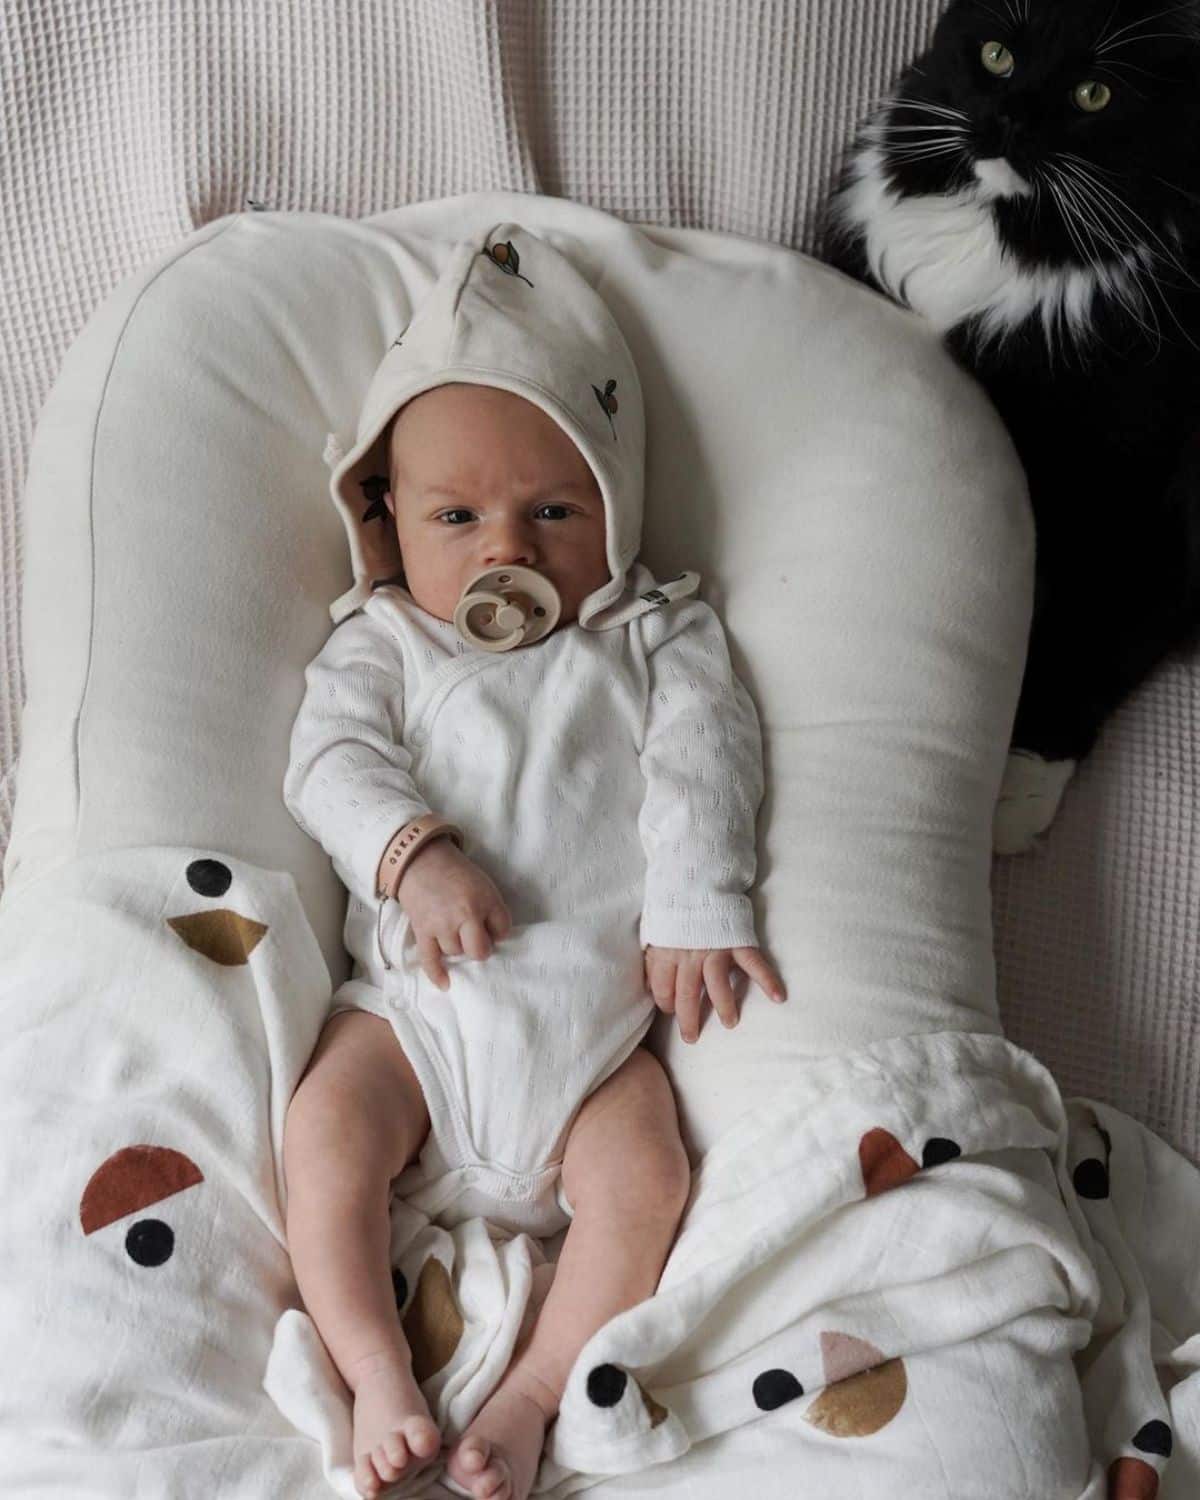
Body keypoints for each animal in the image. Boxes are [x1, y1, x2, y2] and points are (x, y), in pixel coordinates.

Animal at [822, 0, 1200, 852]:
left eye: (1094, 93)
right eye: (997, 55)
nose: (1008, 120)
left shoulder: (1142, 506)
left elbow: (1087, 642)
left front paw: (1017, 792)